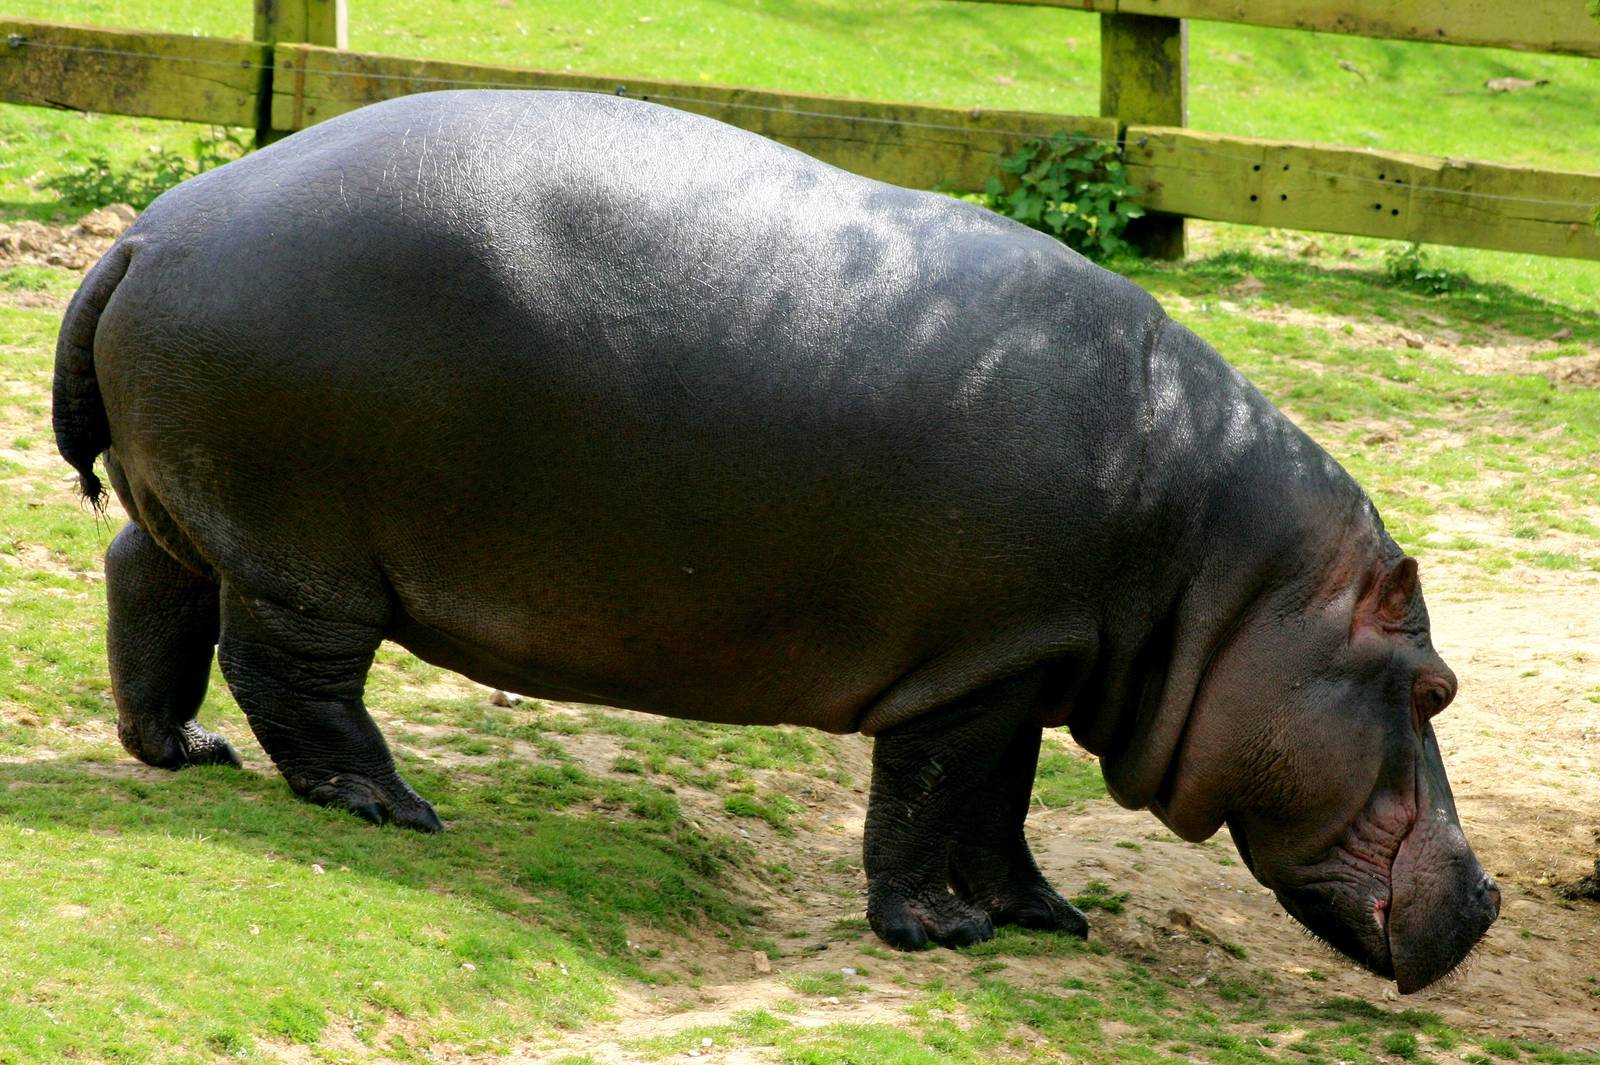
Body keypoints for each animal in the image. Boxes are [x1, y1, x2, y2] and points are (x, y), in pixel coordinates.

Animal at [53, 90, 1497, 992]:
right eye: (1433, 687)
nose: (1488, 898)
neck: (1234, 582)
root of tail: (146, 233)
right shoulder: (971, 674)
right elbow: (925, 803)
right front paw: (935, 935)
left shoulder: (1026, 668)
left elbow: (1004, 810)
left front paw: (1043, 918)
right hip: (307, 556)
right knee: (294, 680)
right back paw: (393, 807)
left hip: (199, 510)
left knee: (148, 585)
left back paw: (179, 750)